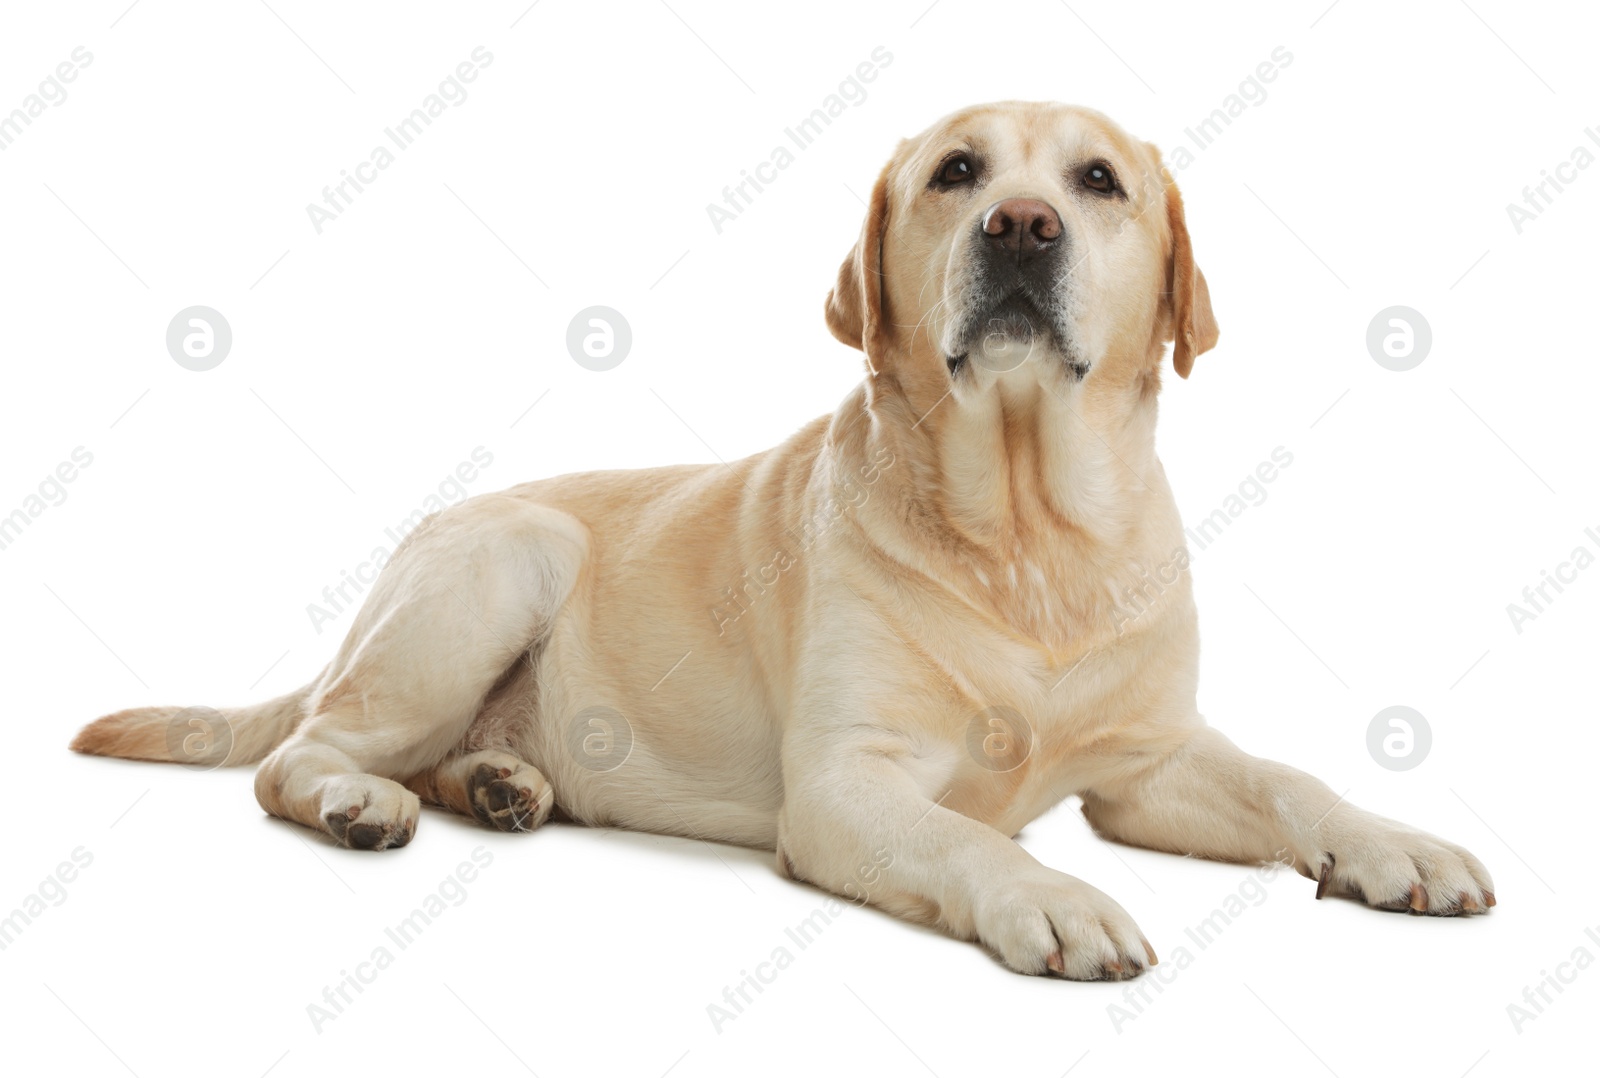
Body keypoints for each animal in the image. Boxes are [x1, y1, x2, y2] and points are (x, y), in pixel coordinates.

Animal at [72, 100, 1497, 972]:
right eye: (957, 173)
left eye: (1097, 182)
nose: (1020, 228)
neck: (1028, 534)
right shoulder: (847, 784)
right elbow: (969, 835)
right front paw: (1053, 896)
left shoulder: (1151, 763)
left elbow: (1290, 782)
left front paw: (1398, 842)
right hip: (500, 563)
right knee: (300, 755)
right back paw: (363, 800)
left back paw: (500, 782)